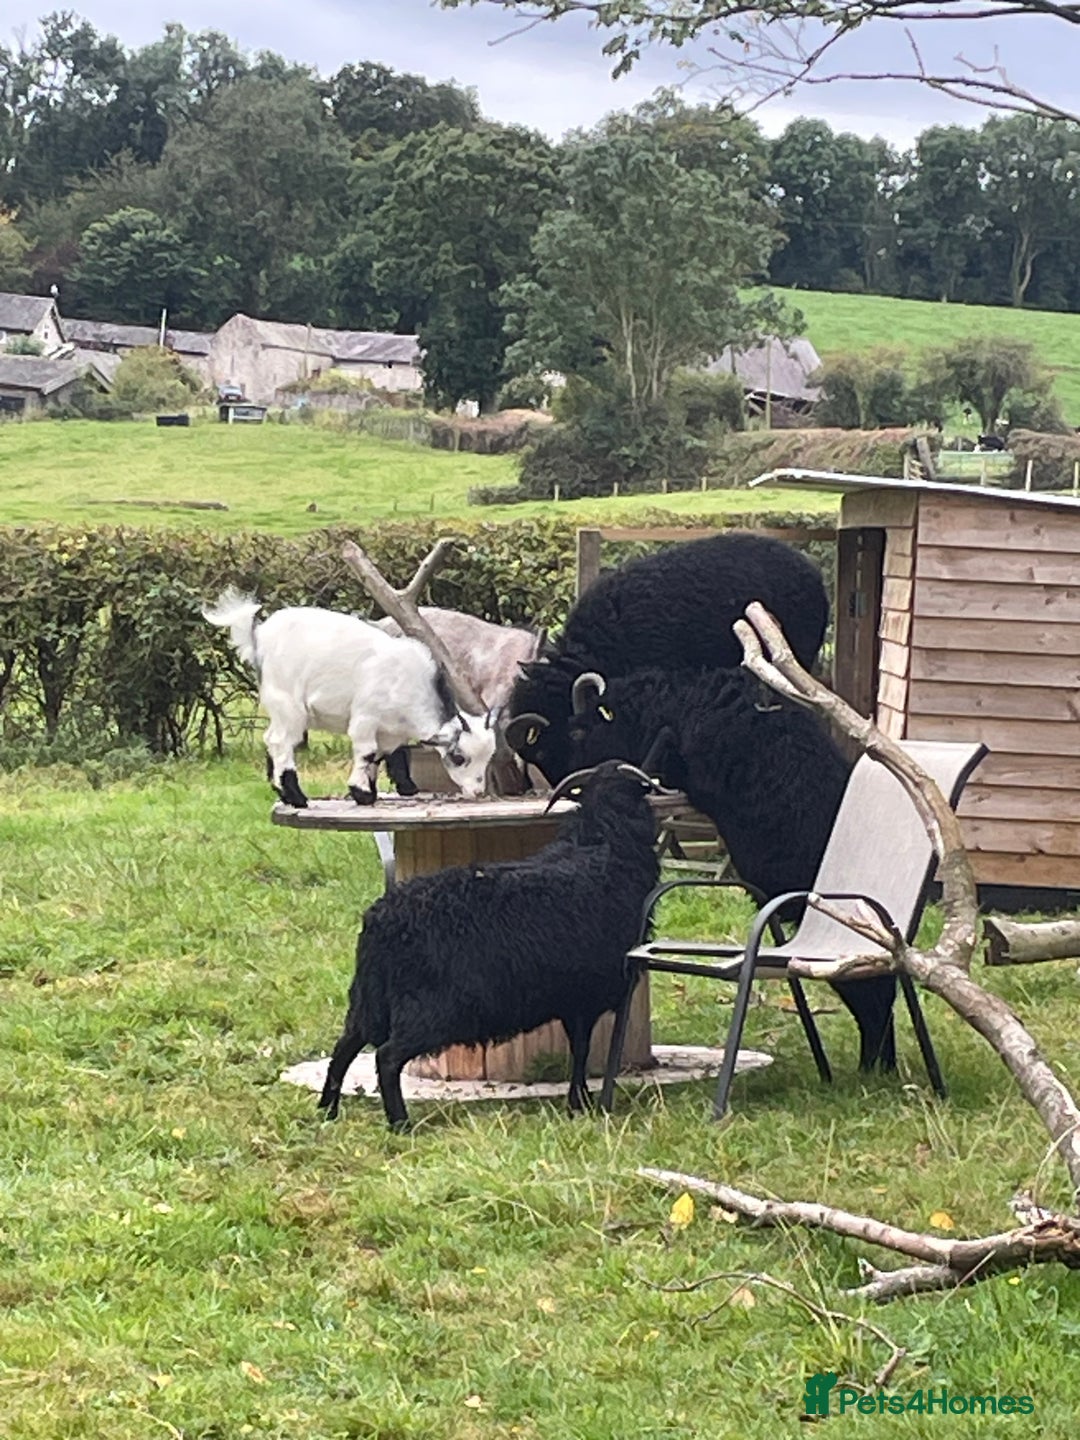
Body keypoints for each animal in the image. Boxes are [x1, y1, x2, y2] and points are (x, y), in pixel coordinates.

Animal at [202, 588, 497, 808]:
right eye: (458, 757)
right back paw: (297, 797)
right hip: (287, 702)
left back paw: (283, 793)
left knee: (270, 739)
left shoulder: (390, 732)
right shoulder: (365, 717)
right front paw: (362, 794)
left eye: (488, 757)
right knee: (280, 741)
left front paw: (381, 790)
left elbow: (382, 755)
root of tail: (259, 635)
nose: (478, 792)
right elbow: (366, 752)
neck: (410, 684)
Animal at [317, 760, 666, 1128]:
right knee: (386, 1057)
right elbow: (582, 1049)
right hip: (429, 1009)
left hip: (369, 999)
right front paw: (579, 1102)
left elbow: (578, 1050)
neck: (602, 843)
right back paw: (400, 1124)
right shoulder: (584, 996)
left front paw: (578, 1101)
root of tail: (381, 920)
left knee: (343, 1048)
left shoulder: (572, 999)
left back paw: (327, 1111)